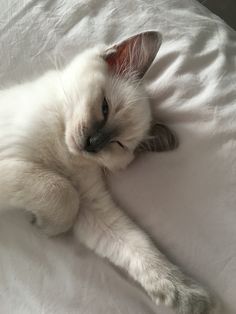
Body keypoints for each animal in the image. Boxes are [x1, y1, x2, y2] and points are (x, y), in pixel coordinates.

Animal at [0, 30, 216, 314]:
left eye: (118, 144)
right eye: (104, 108)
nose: (92, 143)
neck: (64, 150)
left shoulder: (91, 207)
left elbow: (138, 247)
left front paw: (187, 294)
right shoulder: (20, 167)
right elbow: (60, 191)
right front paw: (46, 226)